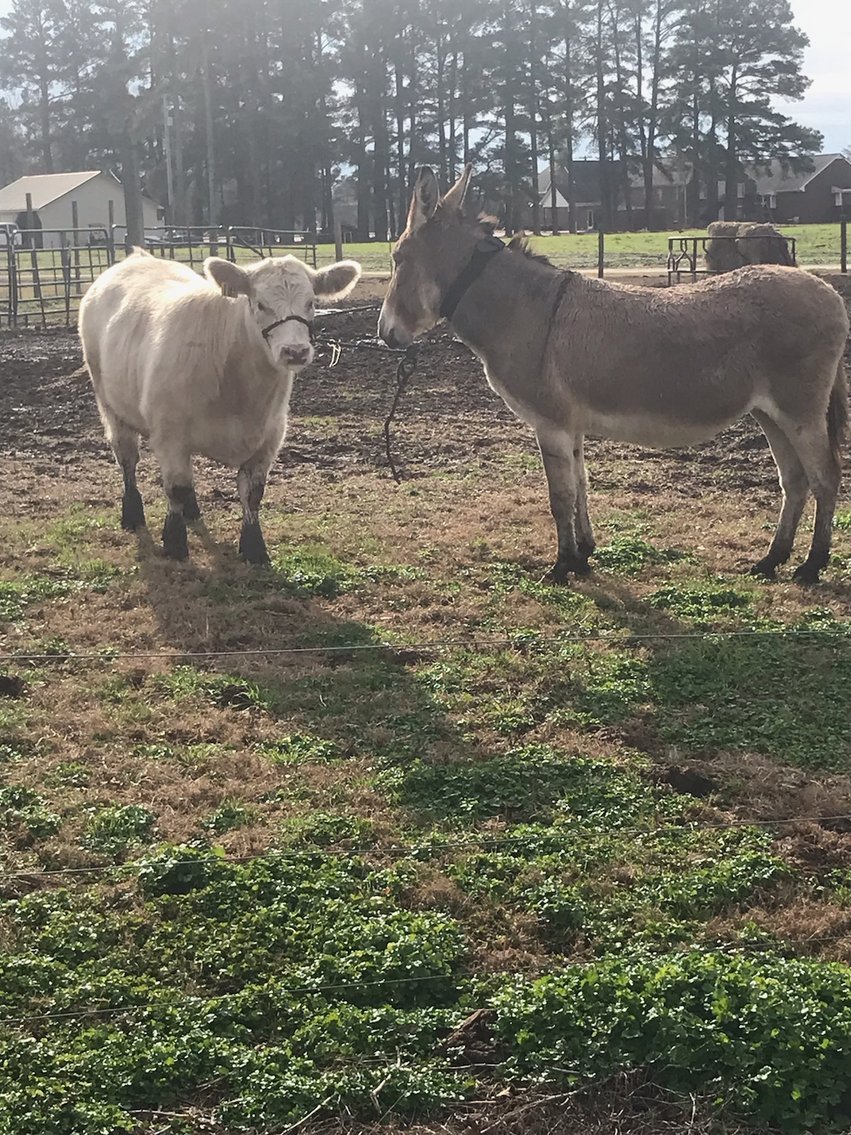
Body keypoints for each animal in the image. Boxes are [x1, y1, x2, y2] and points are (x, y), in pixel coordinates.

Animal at [79, 250, 361, 563]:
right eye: (260, 303)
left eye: (311, 302)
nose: (295, 351)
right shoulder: (169, 435)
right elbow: (175, 488)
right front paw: (174, 543)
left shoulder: (269, 438)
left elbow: (252, 494)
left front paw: (254, 548)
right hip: (110, 405)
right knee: (127, 459)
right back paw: (132, 513)